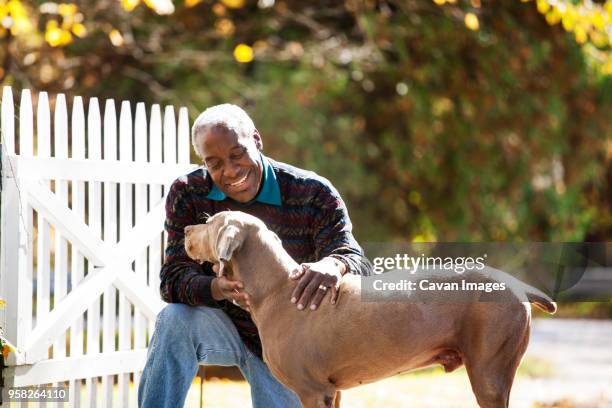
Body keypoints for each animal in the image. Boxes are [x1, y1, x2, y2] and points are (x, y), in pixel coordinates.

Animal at [184, 212, 556, 406]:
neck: (277, 288)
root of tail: (518, 284)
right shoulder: (330, 390)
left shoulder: (312, 390)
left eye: (210, 223)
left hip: (490, 372)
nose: (185, 228)